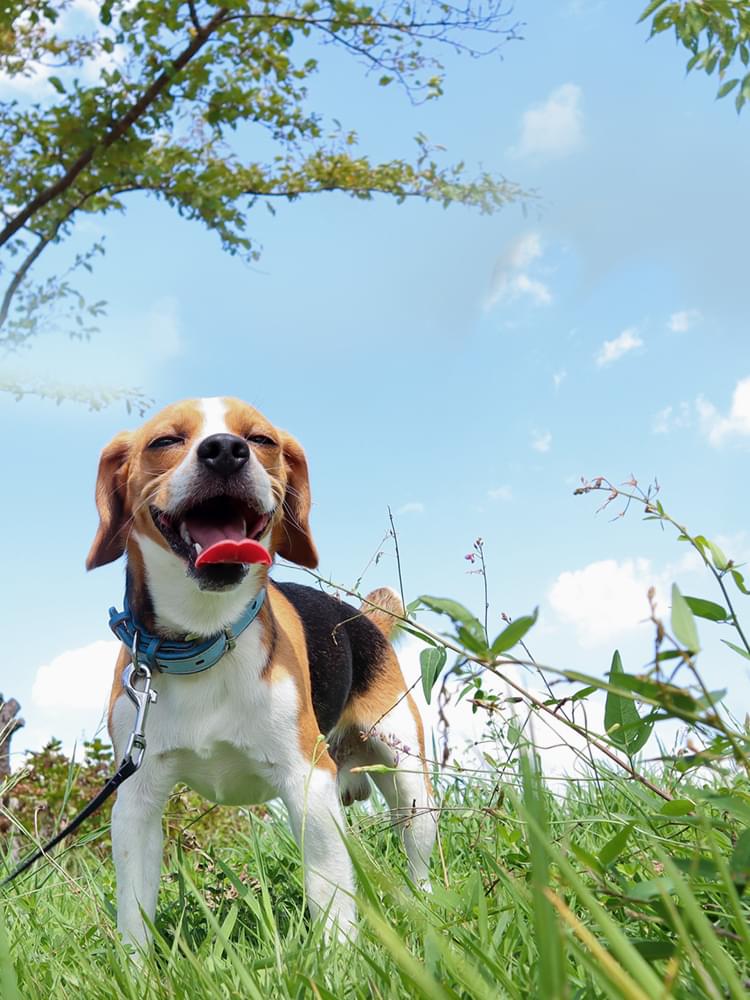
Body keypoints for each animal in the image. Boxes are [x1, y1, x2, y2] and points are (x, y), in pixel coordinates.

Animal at [88, 396, 438, 944]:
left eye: (261, 440)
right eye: (165, 441)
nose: (225, 451)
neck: (206, 637)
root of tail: (363, 619)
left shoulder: (308, 783)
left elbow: (330, 896)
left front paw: (339, 957)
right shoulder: (136, 802)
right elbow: (134, 916)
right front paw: (138, 963)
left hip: (408, 779)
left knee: (416, 849)